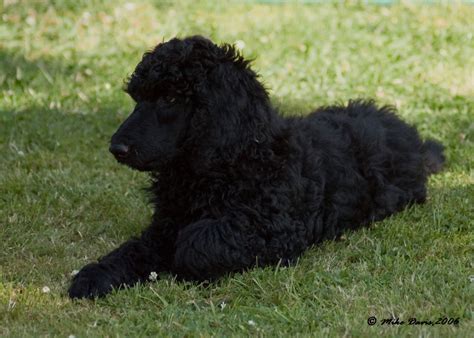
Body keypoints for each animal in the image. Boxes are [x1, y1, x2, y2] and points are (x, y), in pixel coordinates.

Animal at [68, 34, 446, 298]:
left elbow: (197, 242)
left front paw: (177, 265)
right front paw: (95, 275)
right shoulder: (166, 222)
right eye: (137, 98)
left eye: (171, 98)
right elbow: (136, 248)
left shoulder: (273, 229)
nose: (116, 148)